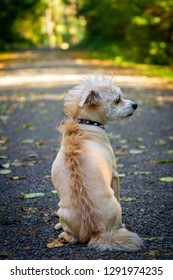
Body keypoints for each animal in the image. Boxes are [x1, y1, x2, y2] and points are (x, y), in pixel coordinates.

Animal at [51, 74, 143, 252]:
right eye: (118, 99)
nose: (135, 105)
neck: (84, 123)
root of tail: (96, 231)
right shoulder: (115, 174)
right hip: (115, 206)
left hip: (62, 210)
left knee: (71, 236)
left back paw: (60, 229)